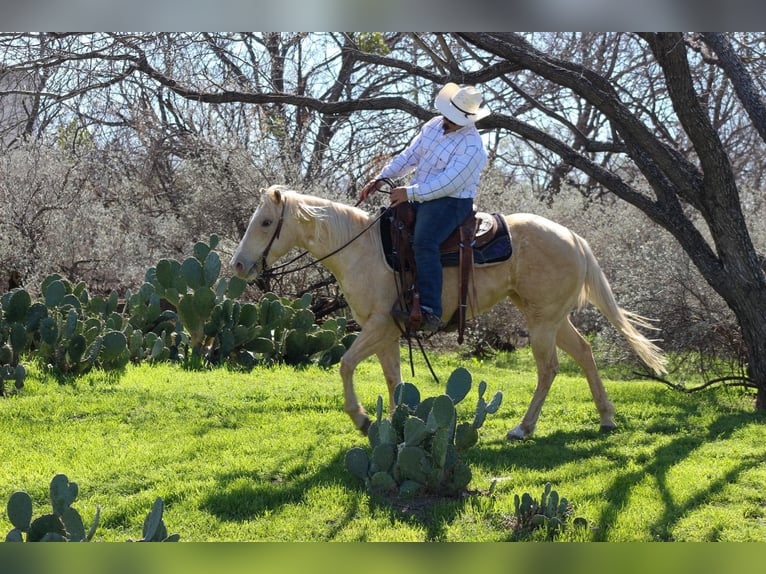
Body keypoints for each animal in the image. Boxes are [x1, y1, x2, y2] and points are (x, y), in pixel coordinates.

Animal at [230, 185, 667, 440]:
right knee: (585, 354)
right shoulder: (386, 331)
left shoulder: (378, 324)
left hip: (542, 322)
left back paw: (523, 428)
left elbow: (347, 365)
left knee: (549, 369)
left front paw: (362, 419)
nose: (237, 265)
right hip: (551, 317)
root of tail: (574, 238)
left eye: (266, 222)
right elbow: (393, 379)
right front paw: (394, 426)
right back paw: (606, 418)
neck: (362, 250)